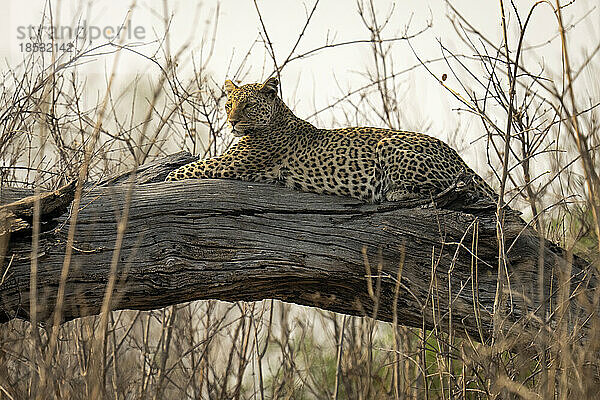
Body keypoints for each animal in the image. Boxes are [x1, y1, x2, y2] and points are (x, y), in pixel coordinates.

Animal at [165, 77, 496, 206]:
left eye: (247, 106)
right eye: (228, 104)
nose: (232, 121)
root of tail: (459, 157)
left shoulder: (233, 163)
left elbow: (187, 170)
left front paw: (163, 177)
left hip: (389, 144)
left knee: (442, 190)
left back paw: (393, 192)